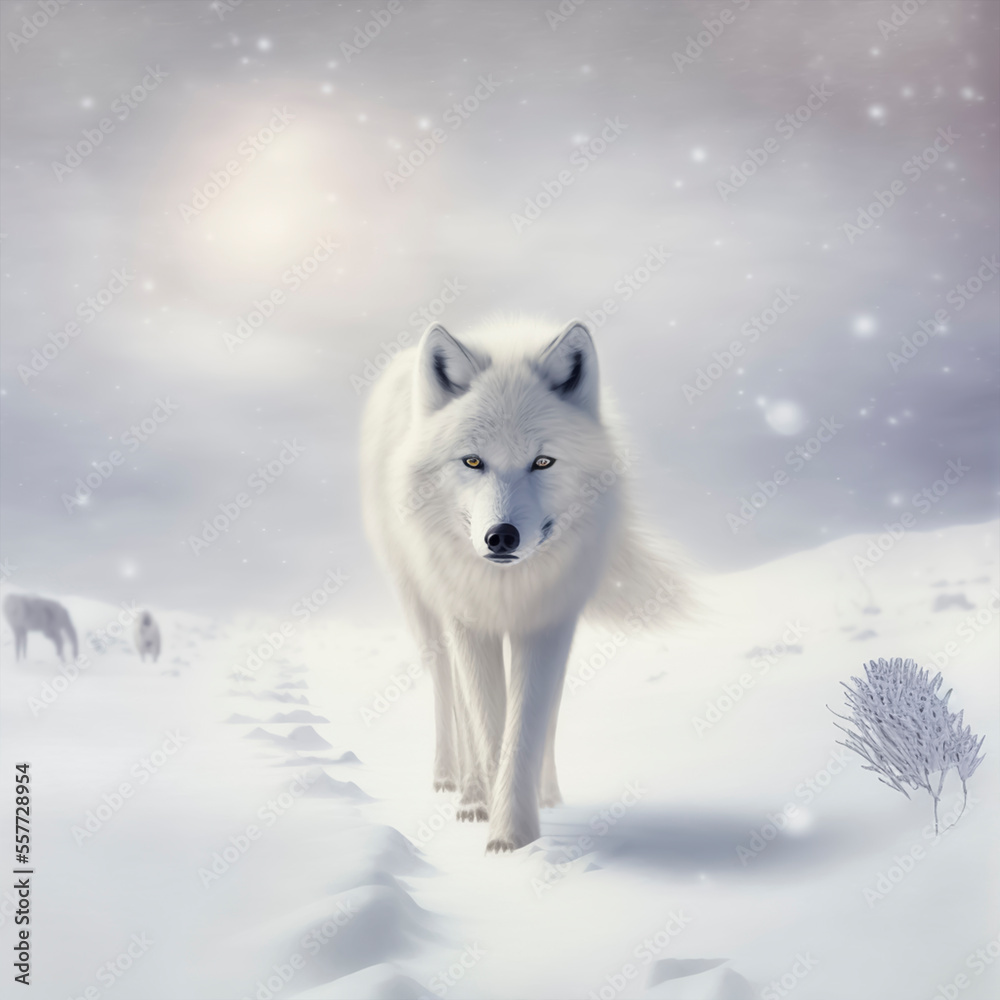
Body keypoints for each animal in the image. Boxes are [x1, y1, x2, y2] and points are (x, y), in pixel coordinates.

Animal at [361, 317, 690, 852]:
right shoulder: (469, 622)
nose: (501, 537)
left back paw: (545, 793)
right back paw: (463, 791)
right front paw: (504, 838)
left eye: (543, 462)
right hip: (425, 612)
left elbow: (529, 726)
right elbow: (489, 727)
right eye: (473, 462)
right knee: (449, 695)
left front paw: (518, 832)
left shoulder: (549, 622)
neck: (507, 589)